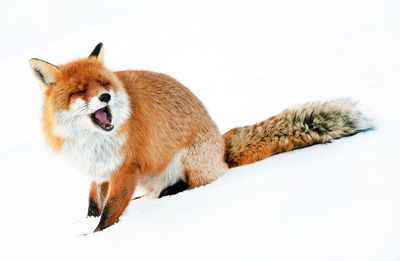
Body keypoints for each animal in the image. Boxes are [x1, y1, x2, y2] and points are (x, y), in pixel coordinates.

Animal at [28, 42, 372, 232]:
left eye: (103, 83)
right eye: (78, 91)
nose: (104, 98)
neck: (92, 140)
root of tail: (221, 147)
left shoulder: (126, 168)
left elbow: (110, 213)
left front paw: (93, 238)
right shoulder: (100, 171)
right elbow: (93, 204)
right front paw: (85, 223)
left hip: (188, 161)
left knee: (199, 183)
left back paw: (174, 191)